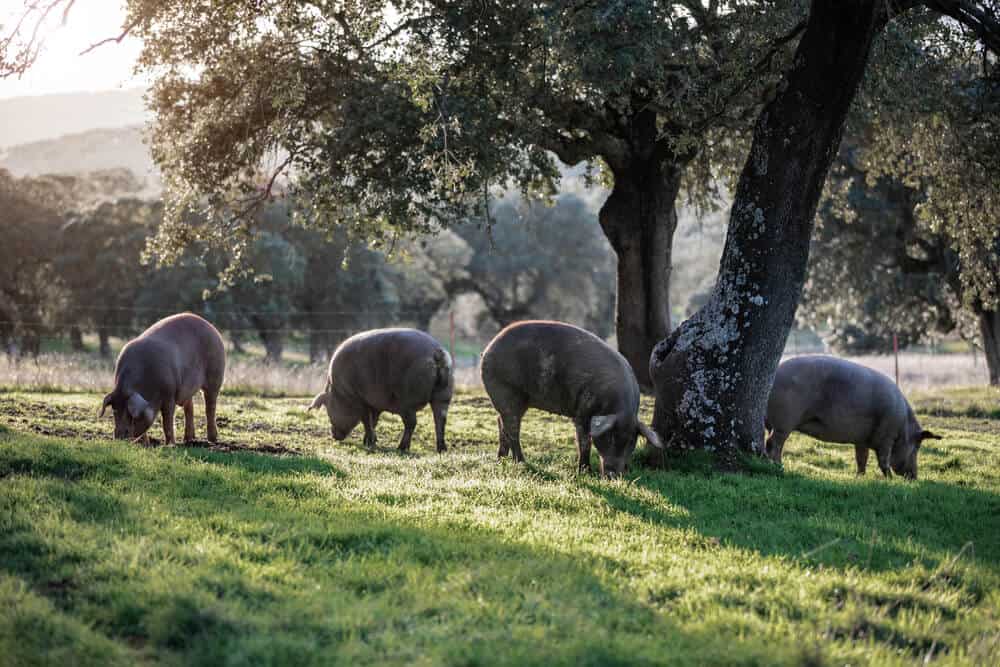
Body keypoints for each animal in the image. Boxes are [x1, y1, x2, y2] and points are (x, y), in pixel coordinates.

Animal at [100, 313, 226, 444]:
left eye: (129, 413)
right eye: (114, 410)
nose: (118, 438)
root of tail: (211, 327)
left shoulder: (169, 394)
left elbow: (167, 421)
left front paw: (170, 444)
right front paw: (146, 444)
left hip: (215, 376)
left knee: (210, 407)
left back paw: (212, 439)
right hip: (187, 388)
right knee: (189, 407)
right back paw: (188, 440)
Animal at [308, 328, 453, 452]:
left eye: (328, 409)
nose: (333, 435)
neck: (339, 392)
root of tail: (436, 352)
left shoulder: (358, 399)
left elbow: (366, 420)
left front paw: (369, 443)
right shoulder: (375, 404)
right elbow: (374, 421)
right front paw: (370, 441)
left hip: (407, 401)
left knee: (412, 423)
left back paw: (401, 448)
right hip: (443, 396)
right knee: (440, 420)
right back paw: (442, 449)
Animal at [480, 320, 663, 477]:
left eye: (630, 442)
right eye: (609, 437)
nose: (613, 475)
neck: (616, 406)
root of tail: (487, 350)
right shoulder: (583, 412)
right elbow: (584, 442)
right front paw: (585, 472)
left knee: (500, 422)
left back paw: (501, 459)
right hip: (506, 393)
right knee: (512, 429)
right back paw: (521, 462)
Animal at [765, 355, 942, 479]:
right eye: (917, 447)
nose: (915, 477)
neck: (903, 427)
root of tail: (776, 373)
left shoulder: (862, 440)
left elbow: (861, 458)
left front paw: (859, 477)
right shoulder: (887, 436)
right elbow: (883, 460)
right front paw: (890, 479)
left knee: (770, 442)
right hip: (784, 422)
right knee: (774, 443)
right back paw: (778, 467)